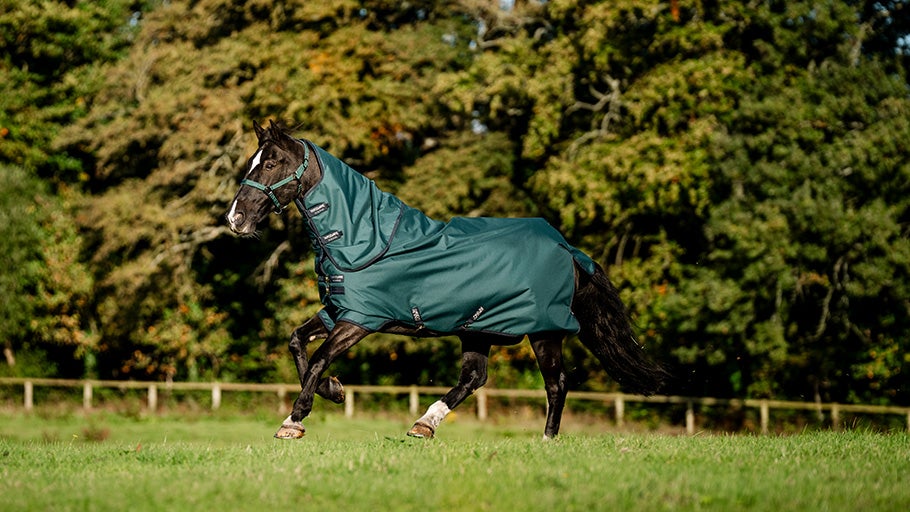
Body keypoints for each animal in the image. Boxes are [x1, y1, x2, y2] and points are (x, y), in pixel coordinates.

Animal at [226, 120, 670, 439]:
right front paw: (334, 391)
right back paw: (425, 424)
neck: (362, 238)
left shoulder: (361, 320)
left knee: (556, 383)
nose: (235, 218)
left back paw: (546, 440)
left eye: (270, 163)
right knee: (474, 377)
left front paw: (294, 420)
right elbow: (297, 343)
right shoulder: (338, 310)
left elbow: (318, 358)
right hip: (480, 328)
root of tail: (568, 250)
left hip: (544, 331)